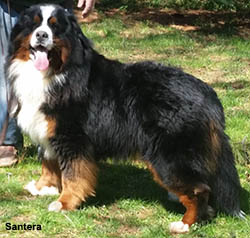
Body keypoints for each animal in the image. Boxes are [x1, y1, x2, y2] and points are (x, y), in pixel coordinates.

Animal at [5, 4, 244, 234]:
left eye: (55, 27)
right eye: (34, 24)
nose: (41, 35)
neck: (57, 73)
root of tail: (207, 92)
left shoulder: (72, 138)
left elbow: (73, 174)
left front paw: (64, 203)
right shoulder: (49, 131)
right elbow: (48, 162)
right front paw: (42, 187)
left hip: (167, 156)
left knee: (199, 189)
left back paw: (185, 223)